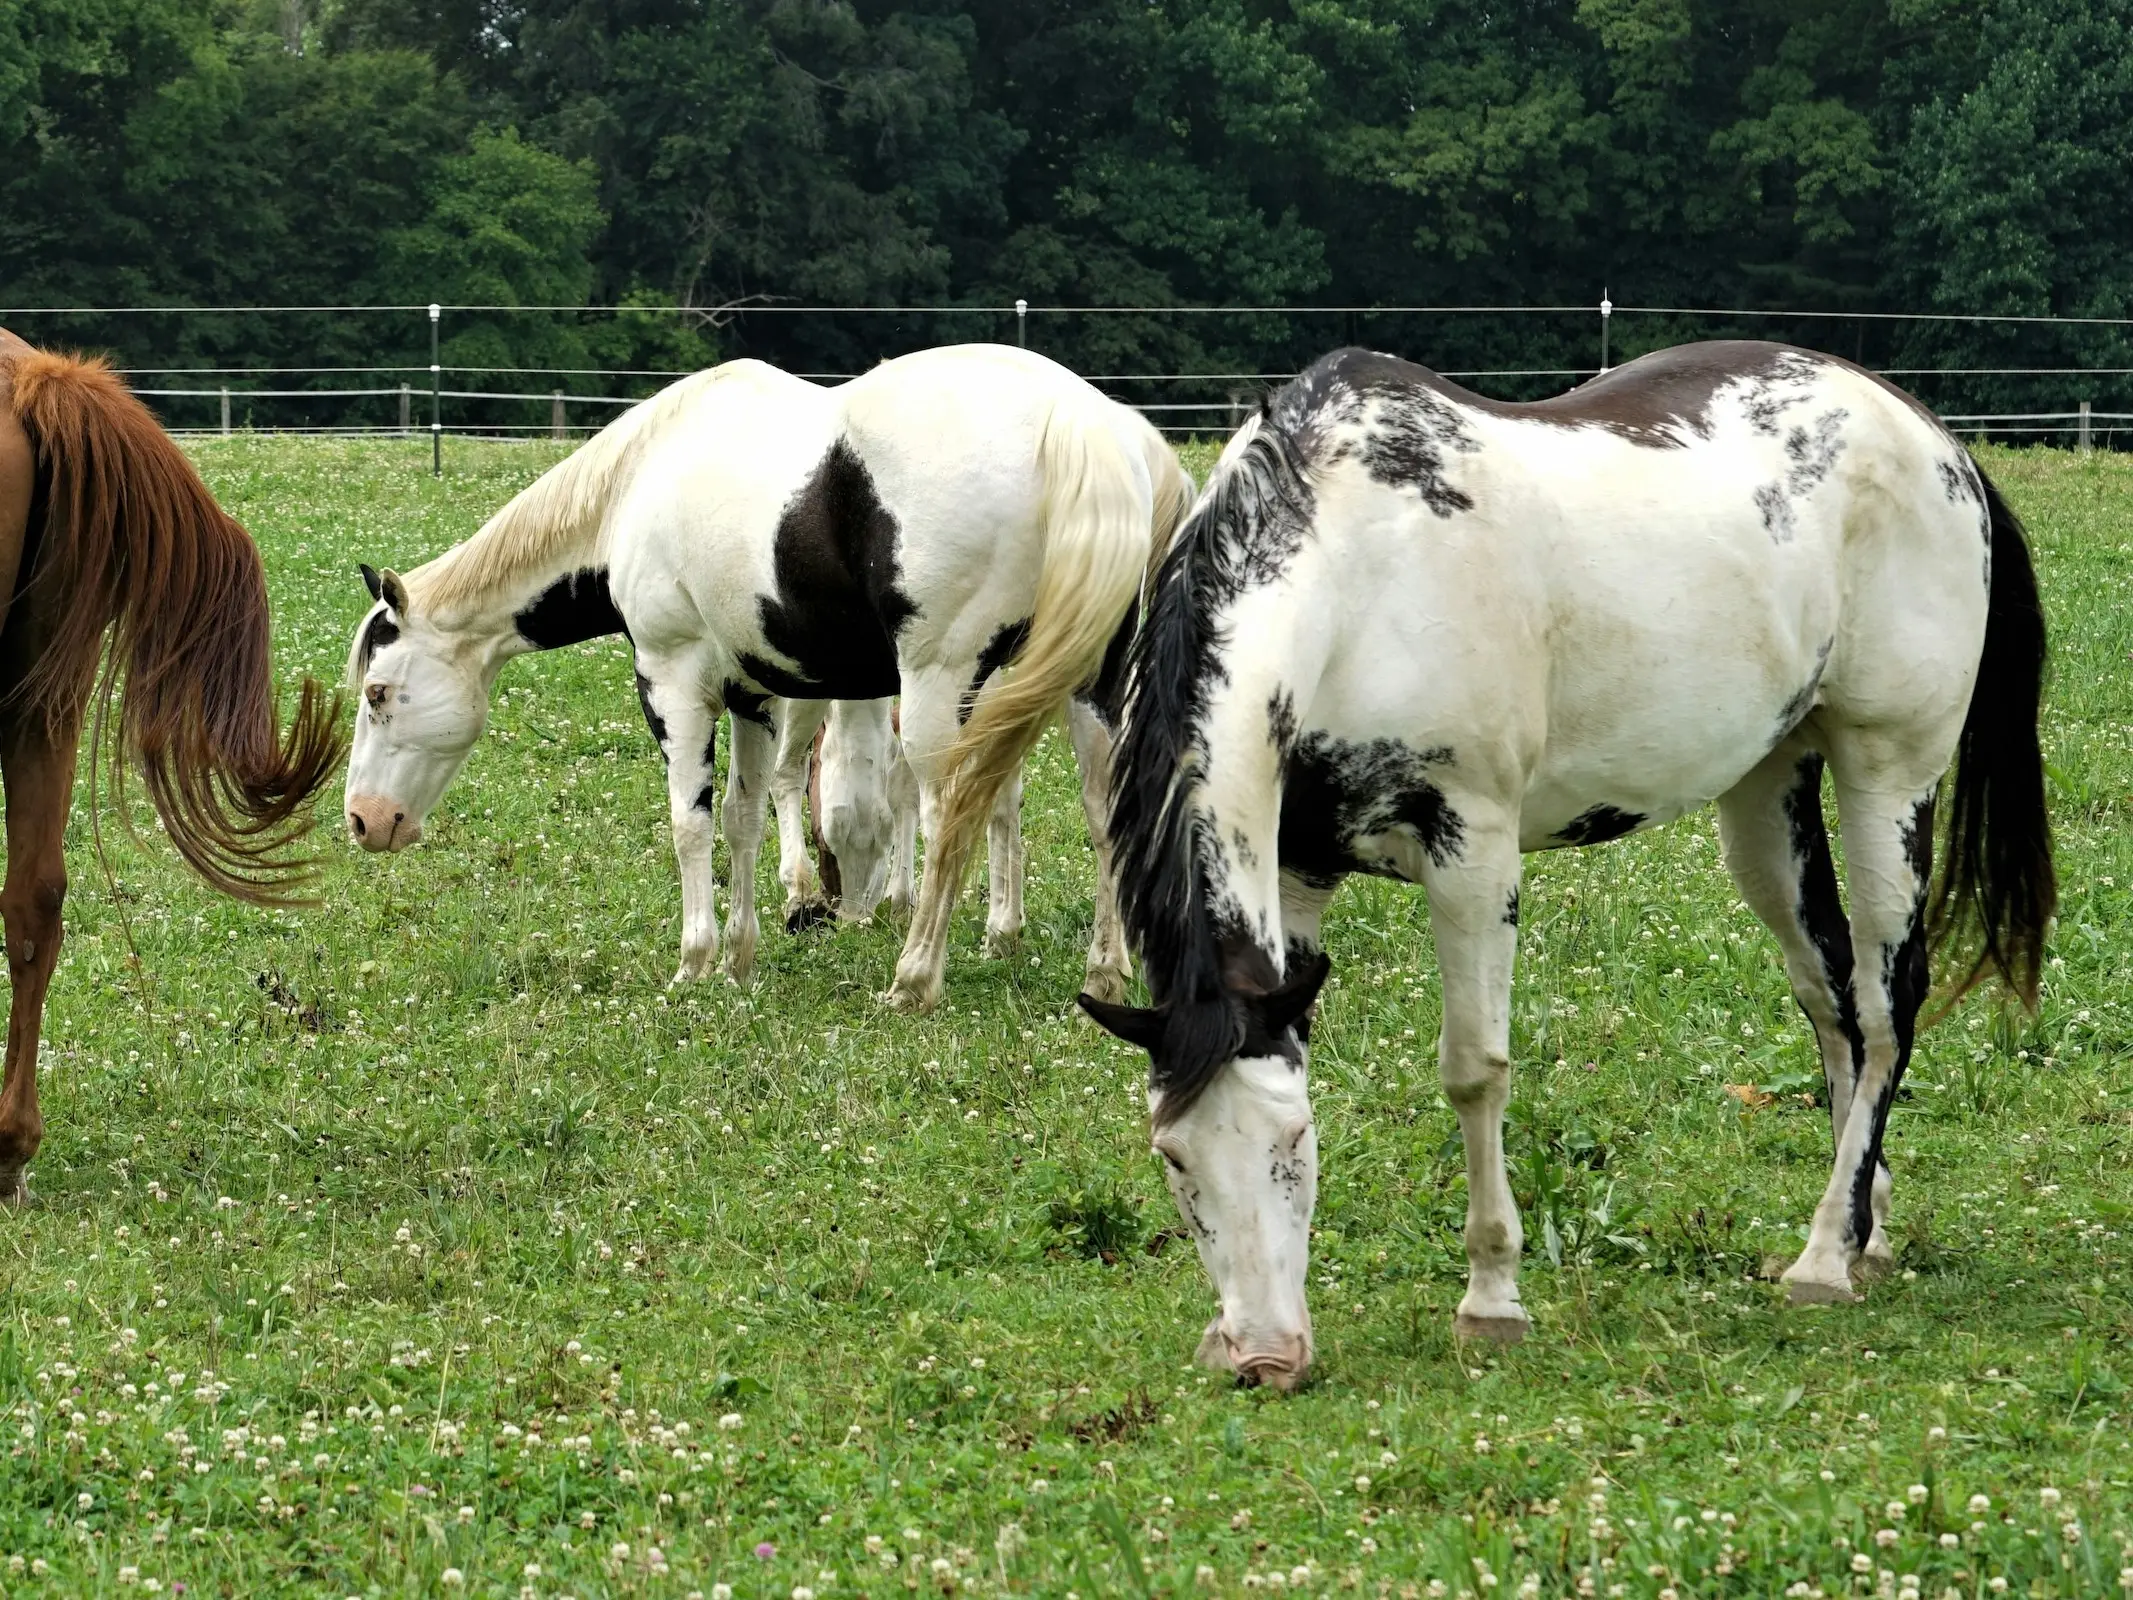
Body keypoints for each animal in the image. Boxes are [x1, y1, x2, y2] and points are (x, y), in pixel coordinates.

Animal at [341, 345, 1194, 1006]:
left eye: (378, 693)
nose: (365, 821)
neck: (638, 482)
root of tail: (1081, 423)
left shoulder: (674, 681)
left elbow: (690, 824)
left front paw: (694, 962)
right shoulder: (751, 695)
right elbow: (743, 820)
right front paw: (740, 959)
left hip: (939, 688)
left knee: (949, 811)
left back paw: (915, 977)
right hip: (1082, 690)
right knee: (1095, 811)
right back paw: (1101, 973)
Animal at [1083, 341, 2047, 1390]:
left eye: (1292, 1145)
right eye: (1174, 1157)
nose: (1263, 1357)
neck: (1358, 569)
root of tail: (1932, 438)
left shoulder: (1470, 852)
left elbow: (1475, 1070)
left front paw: (1491, 1300)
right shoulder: (1295, 873)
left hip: (1889, 773)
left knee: (1882, 1004)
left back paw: (1824, 1258)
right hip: (1768, 789)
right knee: (1828, 996)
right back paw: (1865, 1231)